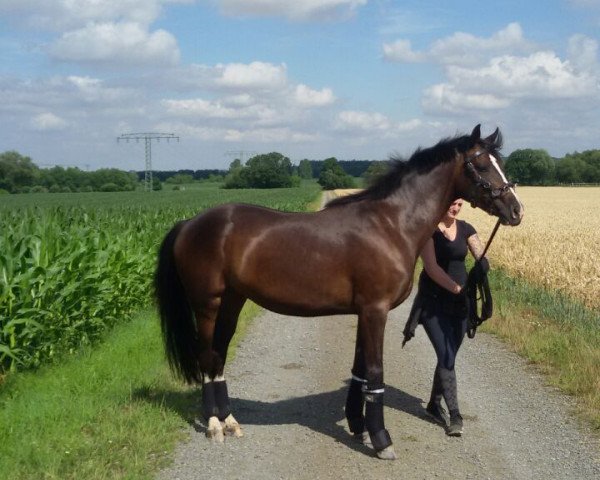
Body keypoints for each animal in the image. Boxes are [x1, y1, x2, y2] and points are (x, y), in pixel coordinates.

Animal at [156, 124, 524, 462]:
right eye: (482, 164)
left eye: (501, 161)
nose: (516, 210)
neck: (390, 225)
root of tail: (189, 223)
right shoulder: (375, 310)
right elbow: (375, 372)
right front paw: (382, 440)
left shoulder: (364, 311)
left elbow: (360, 371)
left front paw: (359, 427)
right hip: (207, 304)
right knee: (206, 356)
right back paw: (214, 425)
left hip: (232, 301)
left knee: (218, 355)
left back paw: (230, 421)